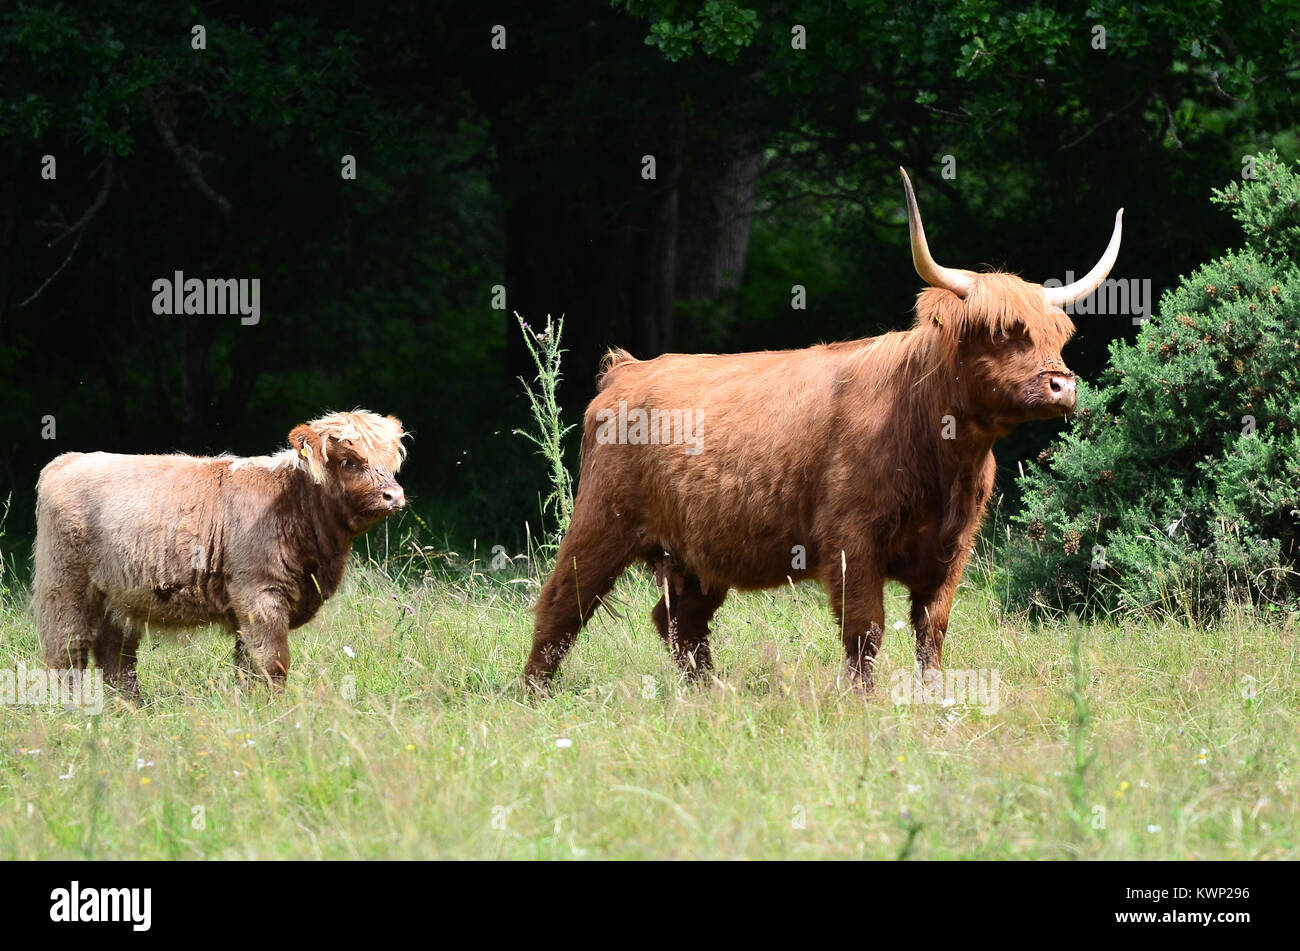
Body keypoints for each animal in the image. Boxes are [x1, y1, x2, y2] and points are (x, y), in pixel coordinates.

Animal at [33, 410, 407, 699]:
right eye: (348, 462)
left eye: (390, 462)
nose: (393, 496)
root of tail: (70, 459)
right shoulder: (259, 594)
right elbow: (273, 662)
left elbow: (248, 665)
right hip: (66, 589)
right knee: (67, 653)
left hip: (118, 598)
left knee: (116, 658)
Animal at [525, 169, 1122, 691]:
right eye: (1001, 332)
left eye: (1057, 335)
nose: (1061, 385)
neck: (943, 452)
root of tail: (627, 369)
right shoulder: (851, 539)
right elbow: (866, 627)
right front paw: (865, 702)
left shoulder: (952, 547)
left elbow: (933, 628)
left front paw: (936, 698)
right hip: (602, 520)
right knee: (562, 602)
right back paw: (533, 695)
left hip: (691, 551)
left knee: (679, 620)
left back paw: (708, 693)